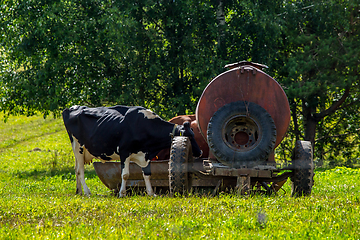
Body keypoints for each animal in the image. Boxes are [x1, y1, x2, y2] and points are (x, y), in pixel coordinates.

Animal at [62, 105, 202, 197]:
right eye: (189, 137)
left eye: (193, 135)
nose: (200, 152)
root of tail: (71, 108)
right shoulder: (124, 152)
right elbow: (125, 174)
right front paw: (122, 193)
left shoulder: (145, 155)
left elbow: (147, 174)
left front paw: (151, 193)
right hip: (78, 147)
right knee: (80, 171)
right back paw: (87, 192)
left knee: (76, 169)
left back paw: (79, 191)